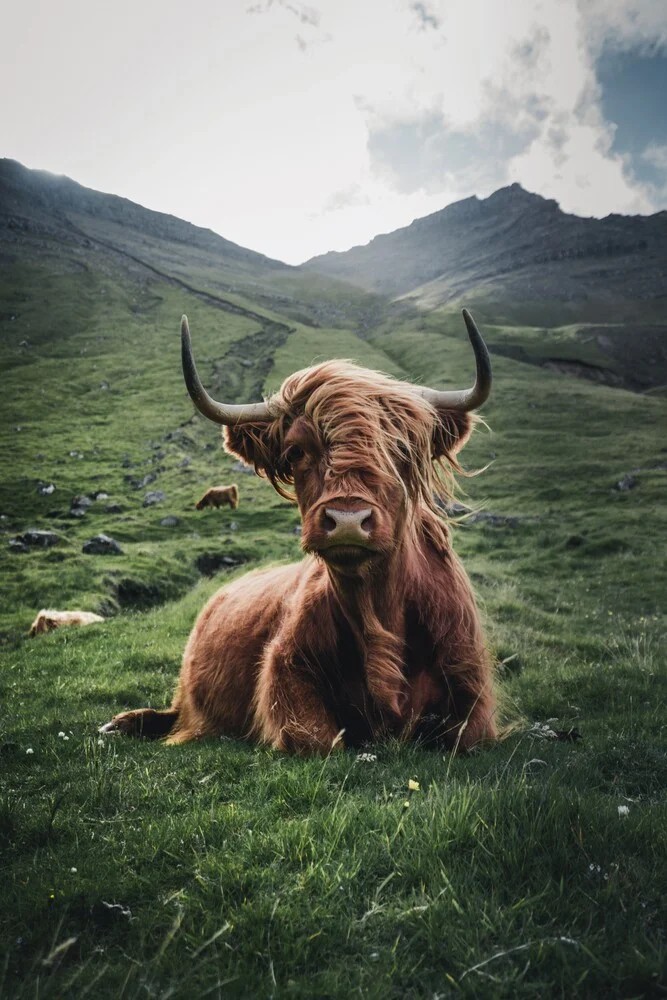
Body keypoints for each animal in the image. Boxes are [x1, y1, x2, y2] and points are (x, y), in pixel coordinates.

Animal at [103, 308, 500, 752]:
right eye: (296, 452)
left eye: (401, 450)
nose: (347, 520)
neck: (377, 611)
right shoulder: (285, 672)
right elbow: (317, 739)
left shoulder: (471, 690)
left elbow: (462, 735)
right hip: (187, 693)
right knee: (174, 714)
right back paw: (122, 723)